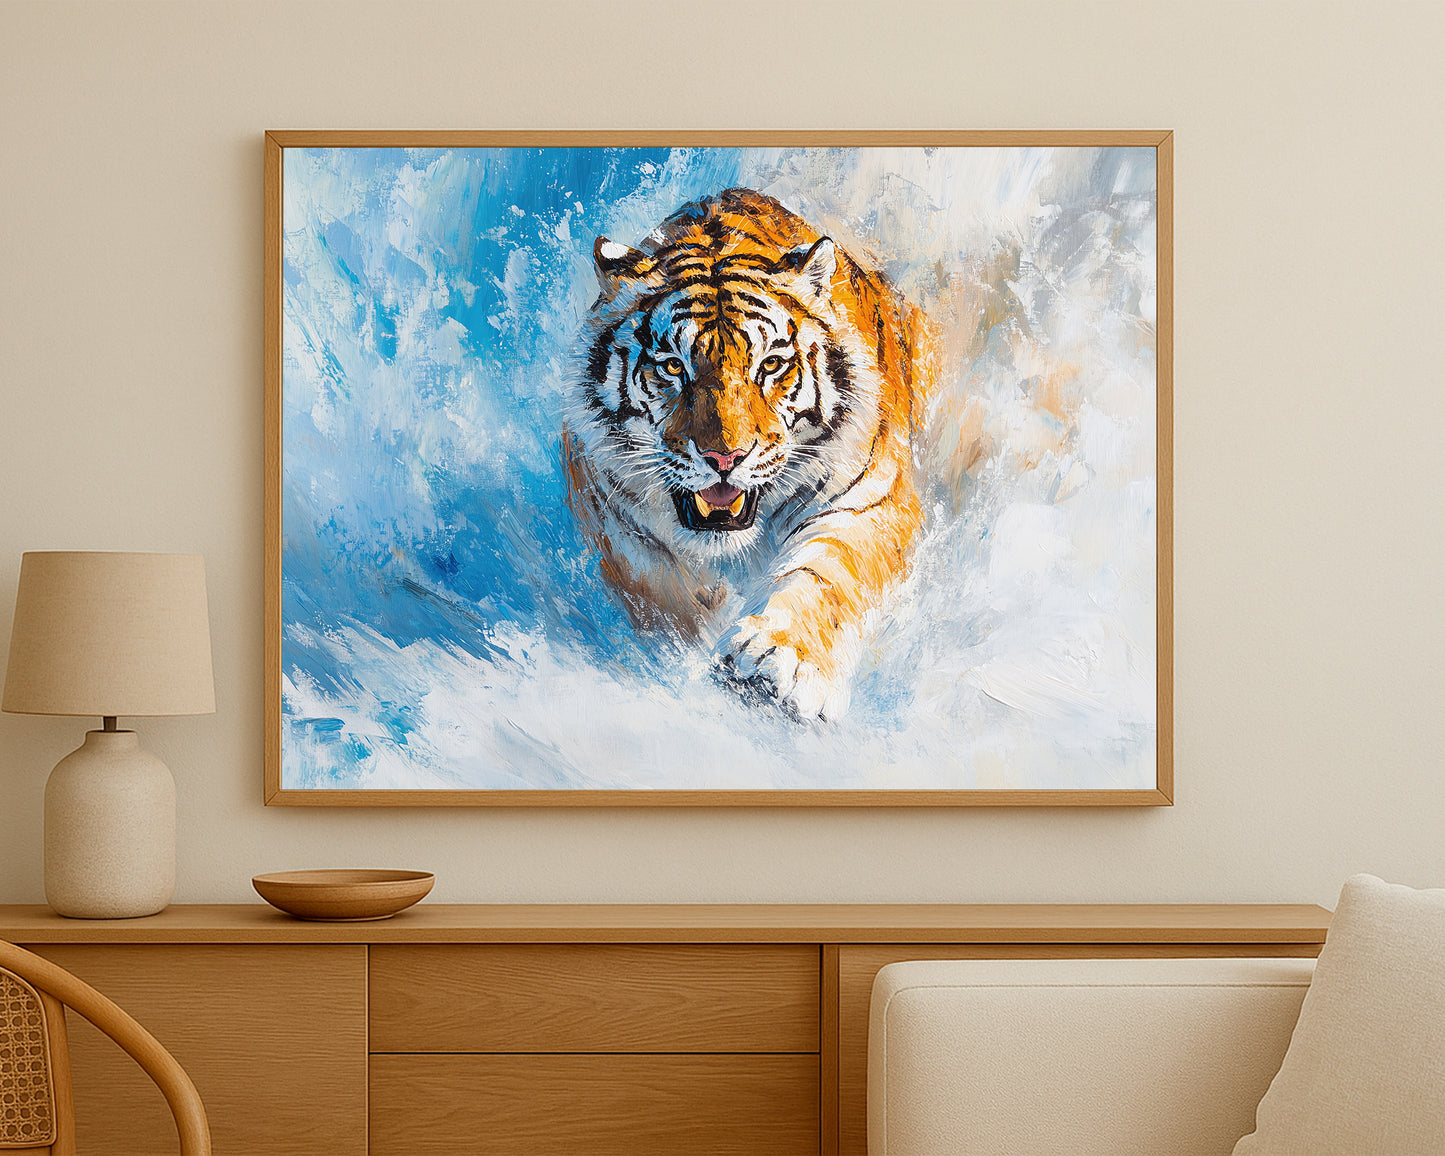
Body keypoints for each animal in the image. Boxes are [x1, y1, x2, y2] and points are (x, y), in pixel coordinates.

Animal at [563, 187, 936, 721]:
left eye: (771, 365)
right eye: (673, 366)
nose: (725, 457)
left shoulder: (867, 500)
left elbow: (825, 574)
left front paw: (778, 659)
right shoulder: (612, 514)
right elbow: (665, 595)